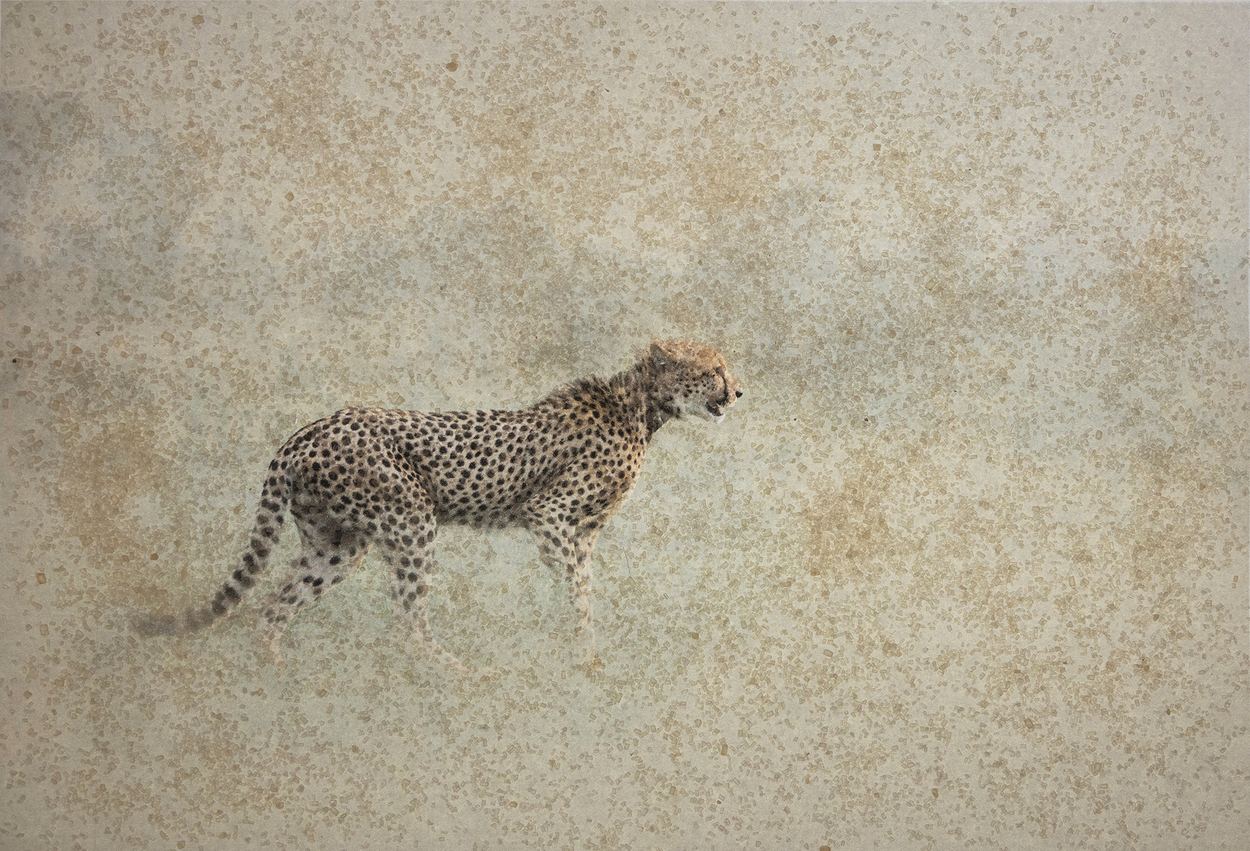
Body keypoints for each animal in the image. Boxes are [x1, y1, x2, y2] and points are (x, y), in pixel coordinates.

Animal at [139, 339, 743, 670]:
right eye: (713, 370)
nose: (739, 393)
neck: (642, 406)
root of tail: (309, 429)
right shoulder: (548, 515)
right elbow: (577, 589)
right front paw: (582, 655)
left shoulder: (582, 530)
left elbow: (583, 587)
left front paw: (583, 651)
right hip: (411, 522)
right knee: (407, 623)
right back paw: (460, 677)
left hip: (337, 544)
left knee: (273, 606)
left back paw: (276, 680)